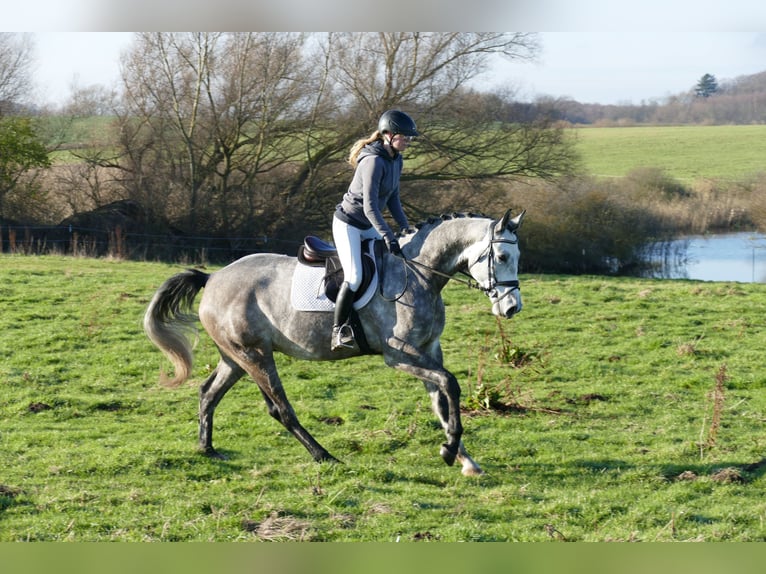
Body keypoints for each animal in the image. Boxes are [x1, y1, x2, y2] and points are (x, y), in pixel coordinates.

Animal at [143, 210, 525, 477]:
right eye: (502, 257)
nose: (511, 308)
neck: (418, 273)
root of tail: (213, 278)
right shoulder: (399, 354)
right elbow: (450, 383)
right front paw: (450, 451)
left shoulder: (429, 350)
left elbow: (442, 402)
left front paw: (463, 458)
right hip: (255, 355)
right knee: (280, 409)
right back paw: (324, 455)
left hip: (236, 357)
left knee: (209, 393)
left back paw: (207, 448)